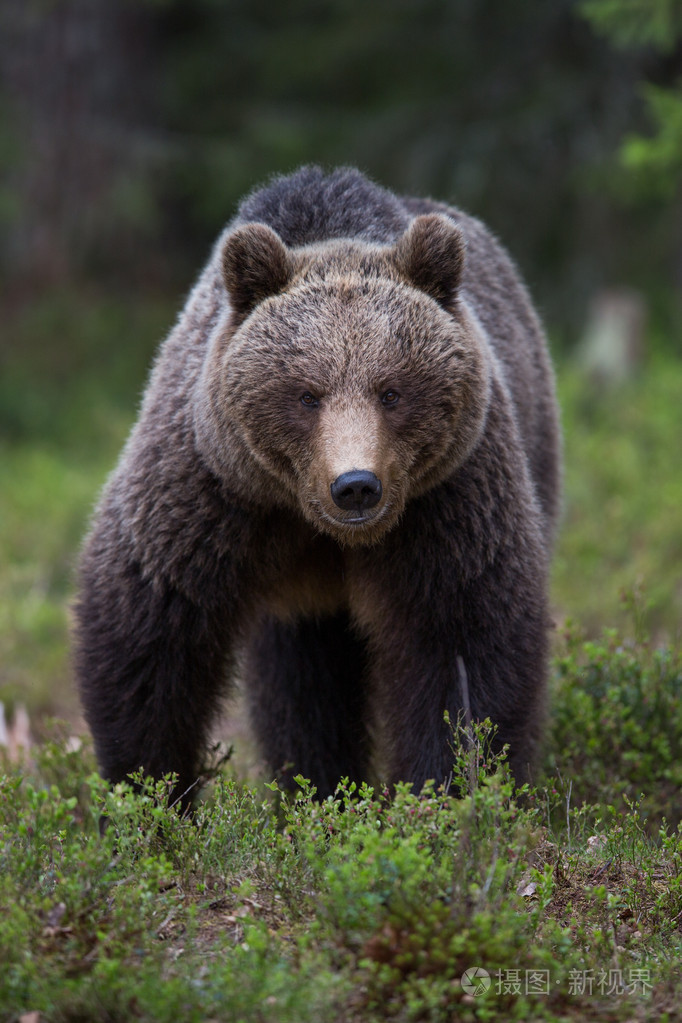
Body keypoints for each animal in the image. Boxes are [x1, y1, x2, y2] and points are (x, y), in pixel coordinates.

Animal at [74, 165, 561, 808]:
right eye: (307, 394)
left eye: (392, 391)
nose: (355, 486)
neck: (317, 526)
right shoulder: (211, 493)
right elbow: (148, 635)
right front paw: (152, 797)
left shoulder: (450, 500)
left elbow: (464, 647)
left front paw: (445, 793)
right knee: (302, 686)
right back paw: (314, 787)